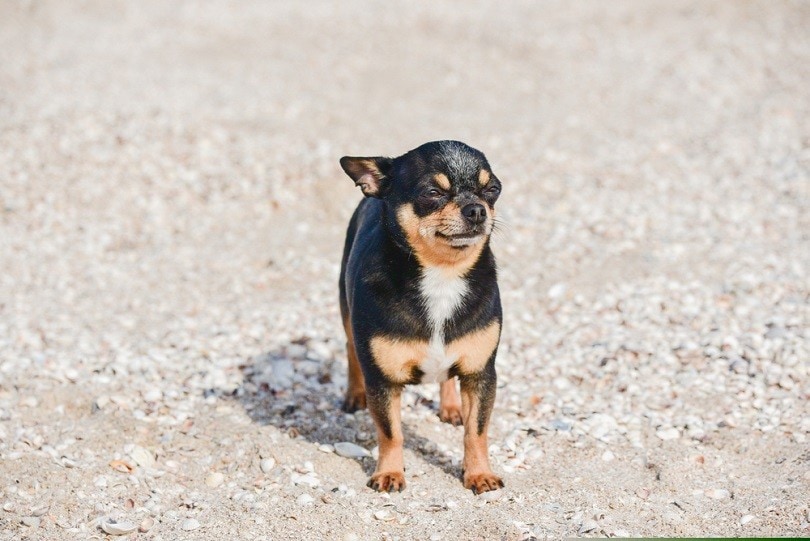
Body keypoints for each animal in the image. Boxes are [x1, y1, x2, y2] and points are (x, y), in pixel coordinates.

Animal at [336, 140, 502, 494]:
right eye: (432, 193)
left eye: (493, 189)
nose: (477, 209)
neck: (443, 274)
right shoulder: (382, 381)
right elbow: (391, 433)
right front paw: (389, 472)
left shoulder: (480, 374)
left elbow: (476, 431)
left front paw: (479, 473)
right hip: (345, 309)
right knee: (350, 347)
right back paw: (354, 394)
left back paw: (451, 406)